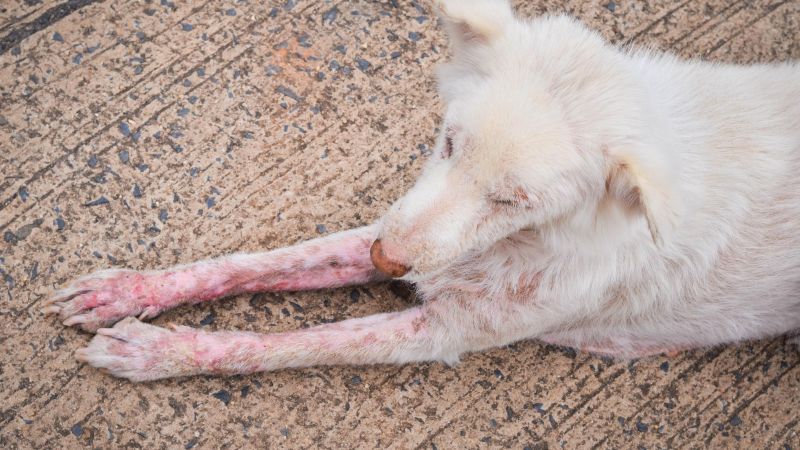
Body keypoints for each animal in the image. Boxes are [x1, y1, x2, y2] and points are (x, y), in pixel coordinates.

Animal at [42, 0, 800, 382]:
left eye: (516, 200)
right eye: (448, 141)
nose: (387, 264)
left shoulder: (443, 329)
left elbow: (294, 344)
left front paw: (158, 354)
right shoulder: (398, 226)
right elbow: (256, 264)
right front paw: (130, 291)